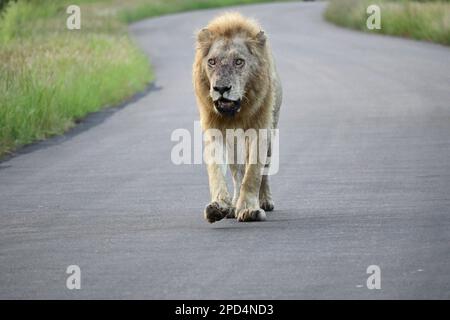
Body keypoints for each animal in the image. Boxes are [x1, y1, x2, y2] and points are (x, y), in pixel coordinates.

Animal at [192, 11, 282, 222]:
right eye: (212, 61)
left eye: (239, 62)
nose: (221, 88)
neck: (236, 112)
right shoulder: (213, 128)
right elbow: (217, 170)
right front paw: (218, 206)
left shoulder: (260, 128)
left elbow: (253, 173)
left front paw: (249, 209)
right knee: (237, 171)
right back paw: (233, 206)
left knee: (263, 172)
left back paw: (264, 201)